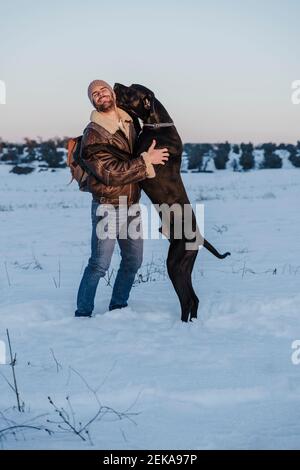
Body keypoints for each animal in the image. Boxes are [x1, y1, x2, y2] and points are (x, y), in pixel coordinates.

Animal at [114, 82, 230, 322]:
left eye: (130, 90)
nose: (116, 85)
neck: (158, 124)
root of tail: (200, 238)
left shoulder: (138, 158)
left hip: (175, 263)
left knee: (186, 299)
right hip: (184, 265)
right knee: (194, 299)